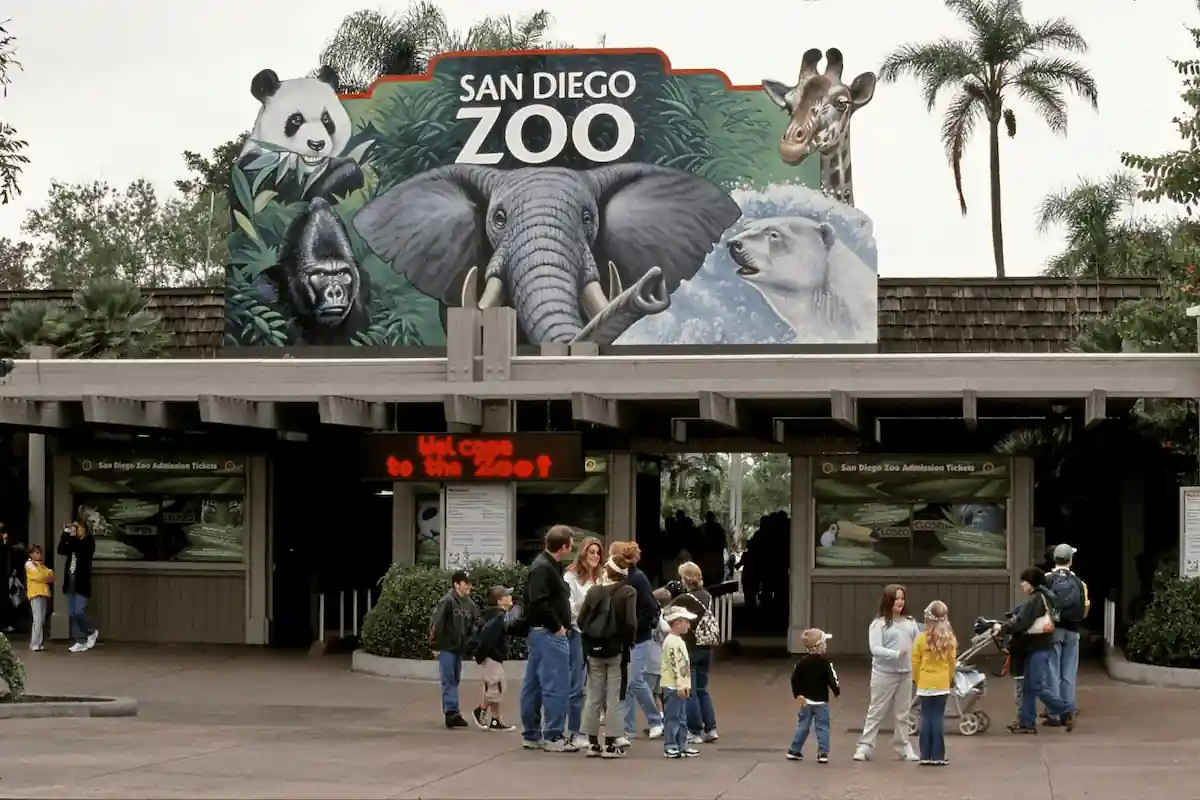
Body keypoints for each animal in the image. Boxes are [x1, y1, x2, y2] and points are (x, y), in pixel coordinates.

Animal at [234, 65, 364, 206]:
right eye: (296, 119)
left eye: (326, 118)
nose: (316, 144)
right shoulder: (253, 167)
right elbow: (282, 196)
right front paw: (341, 175)